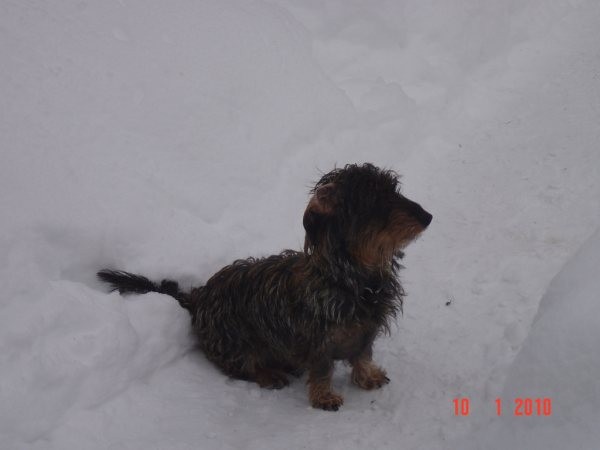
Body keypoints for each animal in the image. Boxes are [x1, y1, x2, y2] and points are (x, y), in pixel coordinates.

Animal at [101, 163, 434, 410]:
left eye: (394, 190)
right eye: (375, 200)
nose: (428, 217)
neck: (351, 279)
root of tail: (197, 297)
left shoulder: (367, 331)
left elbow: (363, 355)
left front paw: (368, 376)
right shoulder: (318, 342)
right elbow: (322, 369)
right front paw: (324, 396)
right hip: (234, 342)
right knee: (243, 367)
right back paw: (271, 374)